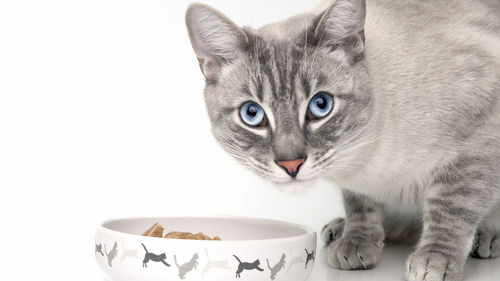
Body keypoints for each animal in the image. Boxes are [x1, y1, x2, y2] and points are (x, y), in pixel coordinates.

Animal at [185, 0, 500, 280]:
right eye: (252, 114)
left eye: (320, 105)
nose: (291, 164)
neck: (367, 159)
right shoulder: (356, 178)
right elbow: (360, 206)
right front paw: (357, 242)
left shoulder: (476, 145)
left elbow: (450, 207)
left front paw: (434, 261)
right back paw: (339, 229)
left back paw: (488, 239)